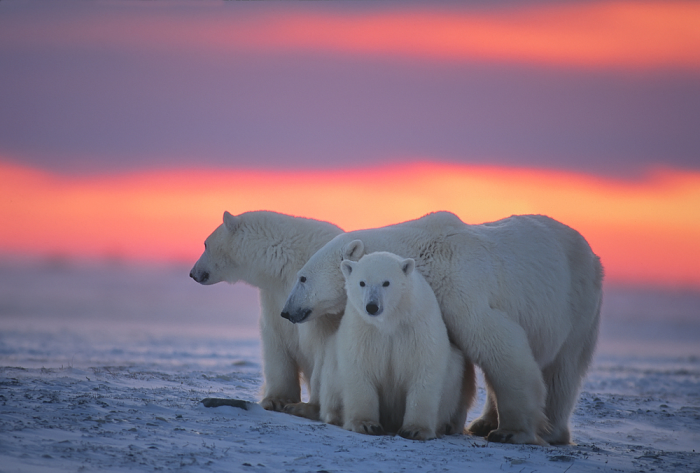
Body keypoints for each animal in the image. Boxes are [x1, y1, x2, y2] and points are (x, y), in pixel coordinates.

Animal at [190, 209, 344, 412]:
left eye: (205, 244)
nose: (193, 273)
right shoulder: (275, 295)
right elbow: (276, 338)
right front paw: (276, 400)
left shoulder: (320, 301)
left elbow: (325, 346)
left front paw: (307, 407)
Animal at [328, 251, 470, 438]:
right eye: (362, 282)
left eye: (386, 282)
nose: (372, 306)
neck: (390, 321)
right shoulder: (363, 329)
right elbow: (360, 367)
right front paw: (366, 424)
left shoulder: (418, 328)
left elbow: (424, 369)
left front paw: (415, 430)